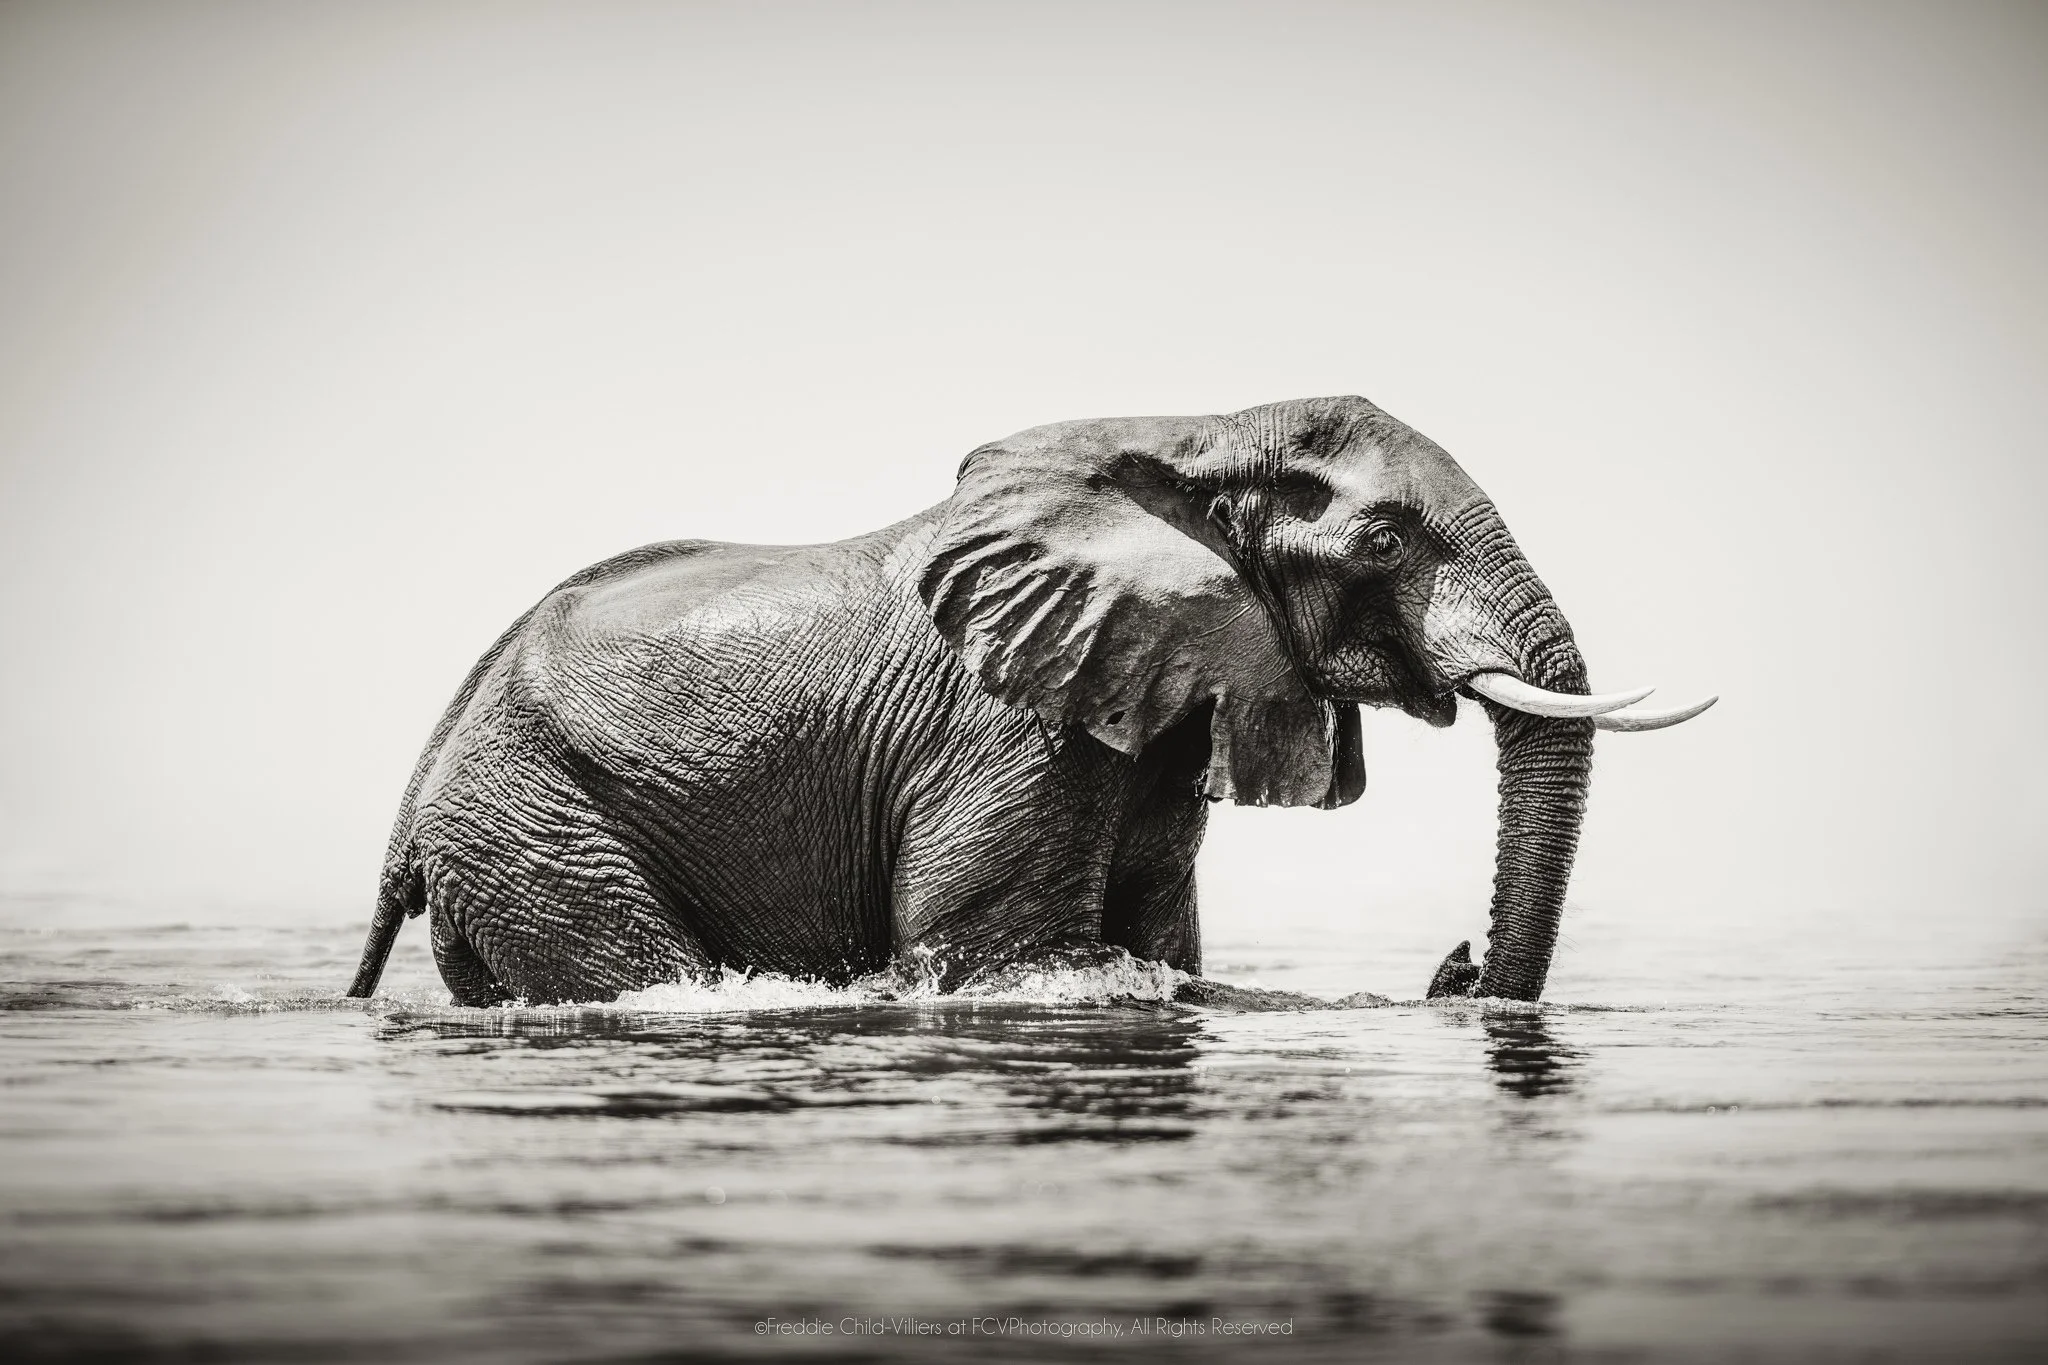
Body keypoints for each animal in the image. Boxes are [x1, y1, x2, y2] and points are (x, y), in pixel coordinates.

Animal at [346, 395, 1711, 1008]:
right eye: (1380, 540)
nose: (1460, 966)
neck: (1202, 430)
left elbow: (1160, 941)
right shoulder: (1006, 728)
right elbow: (1013, 958)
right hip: (535, 822)